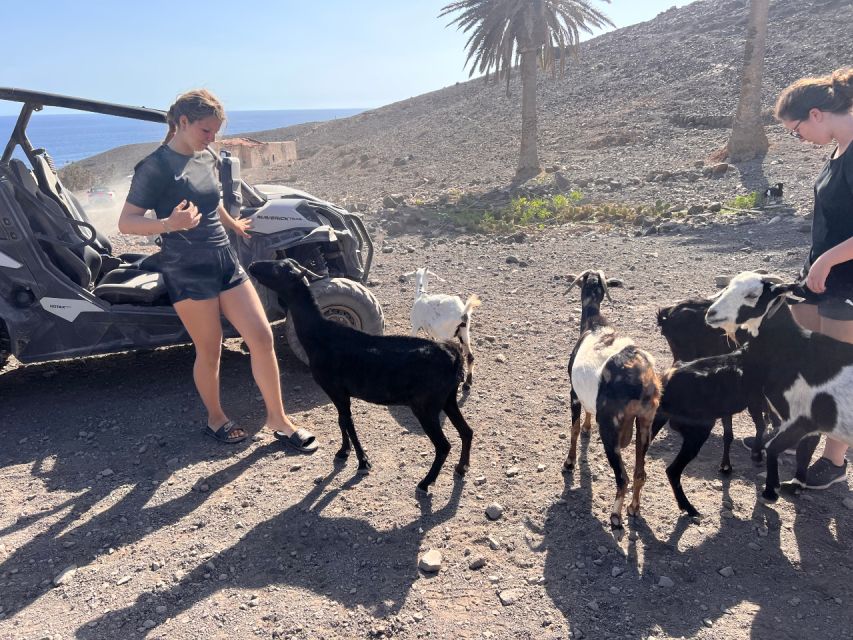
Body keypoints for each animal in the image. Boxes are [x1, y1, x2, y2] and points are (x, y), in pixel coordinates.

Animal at [248, 258, 472, 492]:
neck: (319, 334)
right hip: (447, 399)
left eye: (277, 269)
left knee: (444, 445)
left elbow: (348, 422)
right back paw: (461, 468)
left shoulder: (336, 390)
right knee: (467, 432)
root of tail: (452, 355)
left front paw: (363, 462)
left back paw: (425, 483)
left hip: (425, 405)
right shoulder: (338, 392)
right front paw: (343, 452)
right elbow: (341, 420)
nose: (253, 266)